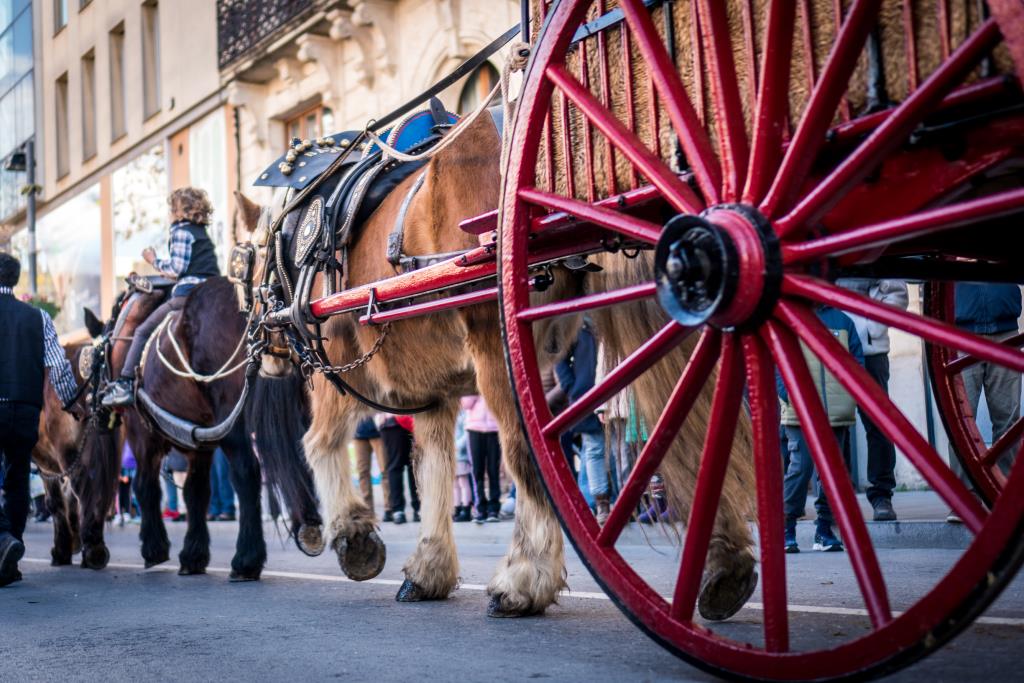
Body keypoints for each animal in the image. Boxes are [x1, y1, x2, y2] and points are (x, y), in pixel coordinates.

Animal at [105, 274, 317, 581]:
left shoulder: (142, 433)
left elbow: (145, 486)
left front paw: (155, 547)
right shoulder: (200, 442)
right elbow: (196, 491)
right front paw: (193, 554)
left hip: (231, 419)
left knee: (246, 473)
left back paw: (246, 558)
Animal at [237, 113, 753, 618]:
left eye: (244, 261)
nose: (263, 350)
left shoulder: (338, 372)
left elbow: (319, 443)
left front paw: (354, 536)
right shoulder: (433, 390)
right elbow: (435, 466)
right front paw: (429, 568)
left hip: (499, 348)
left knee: (526, 451)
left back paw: (523, 579)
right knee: (691, 425)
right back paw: (726, 564)